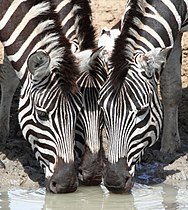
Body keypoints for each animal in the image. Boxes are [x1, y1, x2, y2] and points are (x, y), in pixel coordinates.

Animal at [98, 0, 188, 194]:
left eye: (143, 111)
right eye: (102, 110)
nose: (114, 181)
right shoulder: (174, 32)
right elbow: (170, 87)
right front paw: (169, 147)